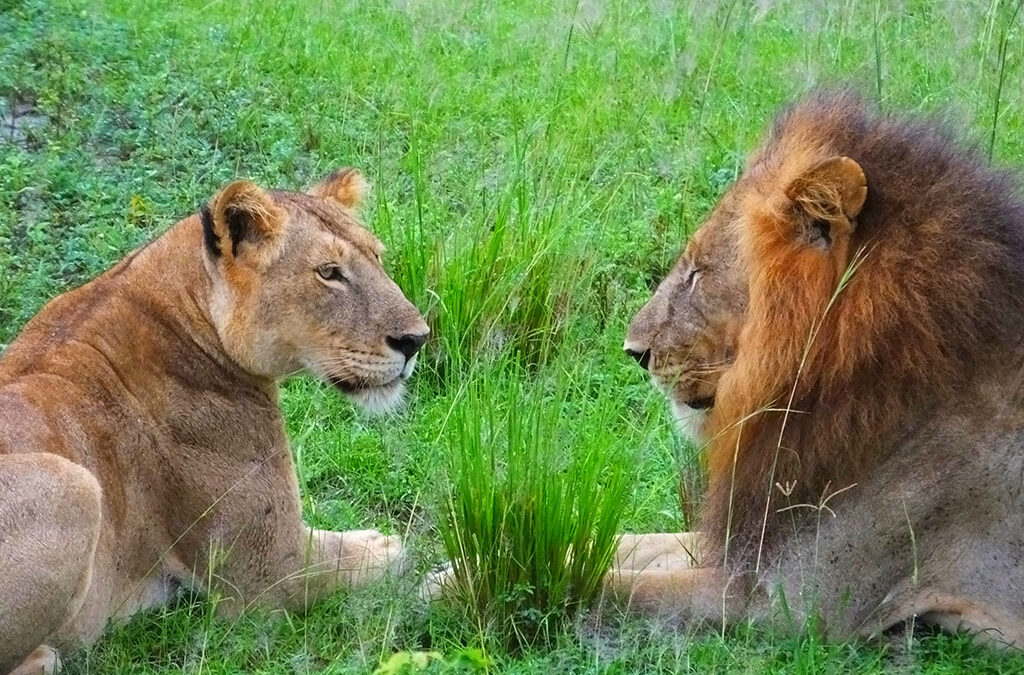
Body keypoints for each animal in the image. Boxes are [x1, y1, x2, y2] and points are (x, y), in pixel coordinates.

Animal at [0, 169, 429, 675]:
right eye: (328, 272)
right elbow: (372, 560)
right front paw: (385, 545)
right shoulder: (269, 573)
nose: (417, 339)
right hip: (74, 484)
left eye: (377, 258)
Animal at [613, 90, 1024, 647]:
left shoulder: (792, 603)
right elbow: (624, 545)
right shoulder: (755, 538)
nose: (634, 351)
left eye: (698, 272)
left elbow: (610, 587)